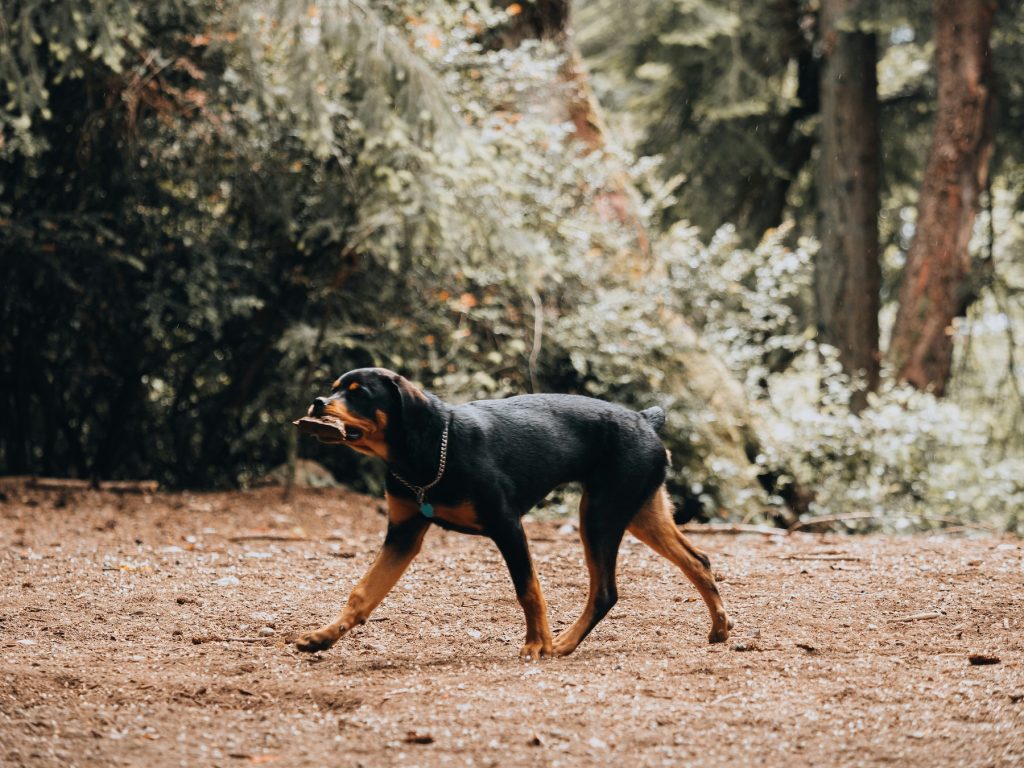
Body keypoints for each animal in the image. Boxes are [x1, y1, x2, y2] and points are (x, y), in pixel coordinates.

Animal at [292, 368, 733, 663]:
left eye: (359, 393)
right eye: (333, 389)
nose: (317, 403)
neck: (427, 451)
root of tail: (644, 419)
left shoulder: (507, 525)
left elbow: (528, 589)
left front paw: (537, 643)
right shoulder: (403, 533)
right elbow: (363, 594)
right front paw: (322, 637)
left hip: (600, 514)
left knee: (606, 590)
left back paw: (562, 643)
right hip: (641, 511)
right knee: (698, 560)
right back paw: (719, 628)